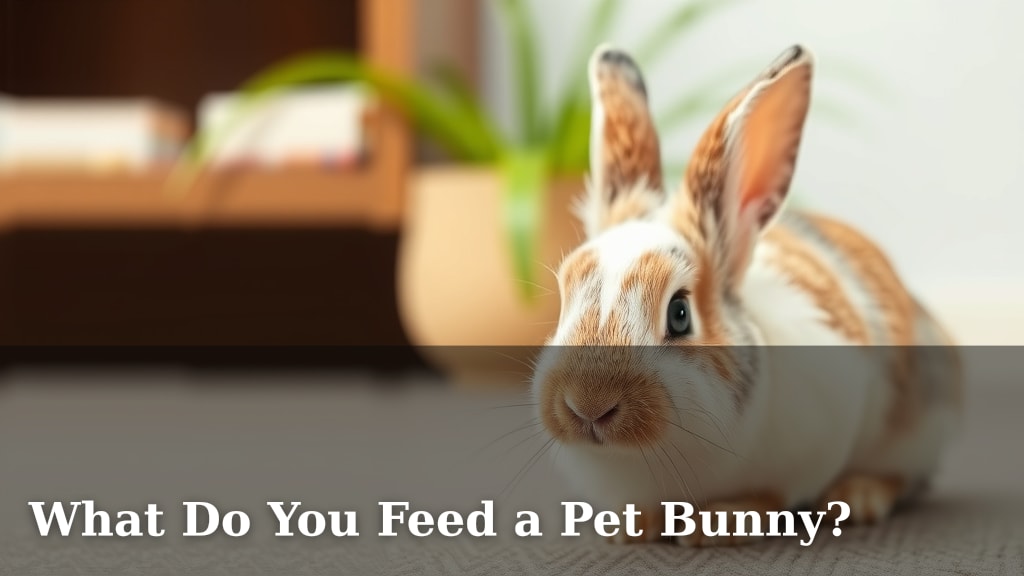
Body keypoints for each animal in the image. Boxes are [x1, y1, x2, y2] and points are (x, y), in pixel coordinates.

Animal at [530, 44, 962, 546]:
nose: (587, 406)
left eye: (680, 313)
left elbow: (771, 495)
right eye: (566, 296)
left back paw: (858, 497)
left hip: (916, 427)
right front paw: (629, 528)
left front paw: (716, 524)